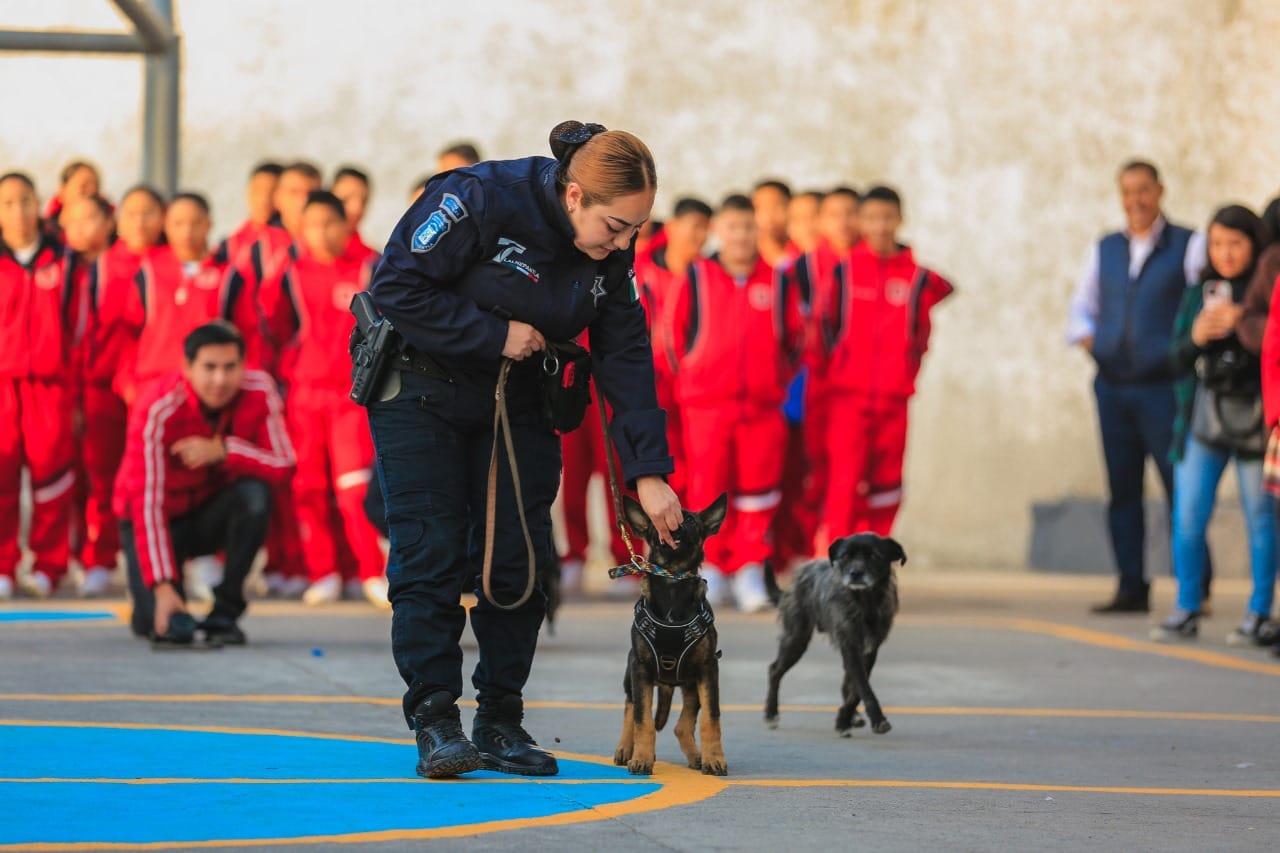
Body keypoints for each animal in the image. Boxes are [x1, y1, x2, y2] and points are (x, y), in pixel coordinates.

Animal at [611, 489, 727, 773]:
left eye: (693, 521)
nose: (677, 524)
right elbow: (642, 719)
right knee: (631, 705)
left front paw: (715, 758)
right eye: (657, 522)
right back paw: (626, 748)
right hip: (632, 673)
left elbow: (711, 718)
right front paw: (641, 757)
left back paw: (697, 756)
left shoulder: (708, 669)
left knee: (682, 725)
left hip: (691, 683)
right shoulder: (640, 668)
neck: (673, 581)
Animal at [762, 535, 906, 732]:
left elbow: (856, 690)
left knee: (846, 683)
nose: (855, 573)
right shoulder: (850, 647)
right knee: (774, 670)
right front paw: (875, 719)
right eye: (845, 556)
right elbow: (862, 686)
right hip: (796, 639)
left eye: (874, 556)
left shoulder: (869, 650)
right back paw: (771, 713)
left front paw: (845, 718)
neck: (864, 603)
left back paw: (853, 716)